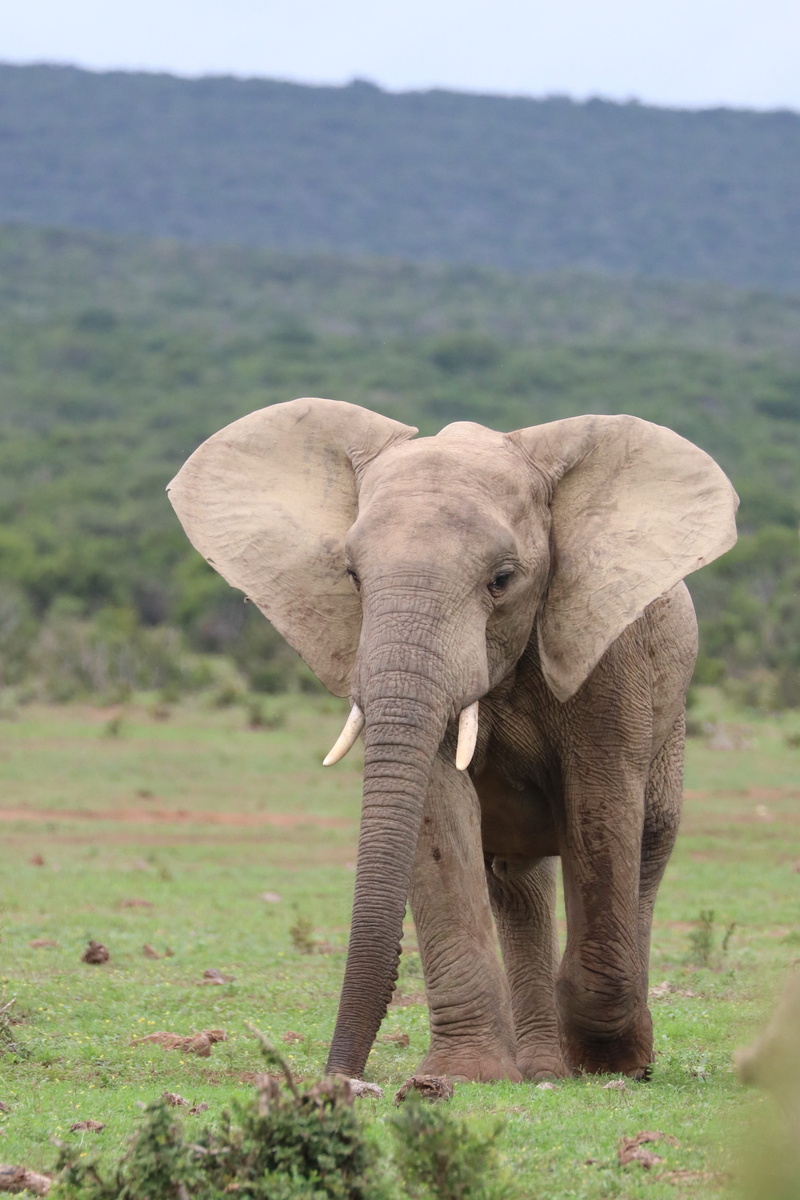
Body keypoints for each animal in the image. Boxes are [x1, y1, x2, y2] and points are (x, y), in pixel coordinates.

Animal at [167, 397, 738, 1083]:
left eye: (502, 579)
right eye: (351, 577)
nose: (339, 1077)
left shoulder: (608, 654)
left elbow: (599, 807)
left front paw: (610, 1064)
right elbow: (436, 812)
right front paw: (464, 1076)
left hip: (671, 713)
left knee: (650, 842)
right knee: (517, 882)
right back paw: (541, 1069)